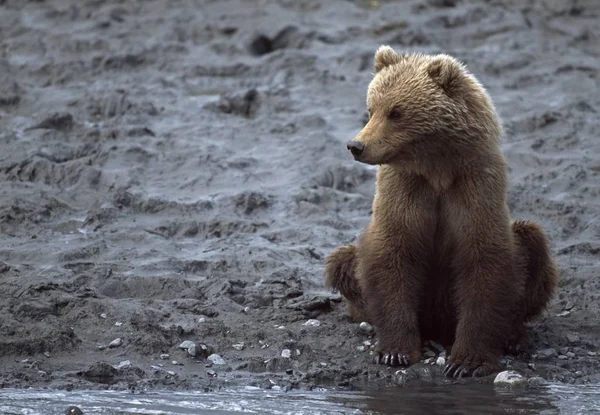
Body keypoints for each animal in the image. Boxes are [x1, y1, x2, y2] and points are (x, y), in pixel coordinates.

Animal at [326, 47, 560, 378]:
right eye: (371, 109)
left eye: (396, 112)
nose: (356, 145)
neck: (437, 168)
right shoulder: (406, 189)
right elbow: (393, 255)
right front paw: (395, 351)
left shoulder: (474, 186)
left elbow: (484, 261)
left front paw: (467, 362)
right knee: (343, 260)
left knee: (533, 243)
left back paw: (515, 336)